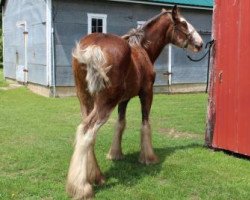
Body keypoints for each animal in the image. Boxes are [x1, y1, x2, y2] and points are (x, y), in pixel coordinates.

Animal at [67, 5, 203, 199]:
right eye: (183, 23)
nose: (200, 44)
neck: (142, 50)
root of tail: (92, 48)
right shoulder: (146, 93)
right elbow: (145, 122)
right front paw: (148, 157)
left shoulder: (123, 100)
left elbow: (120, 124)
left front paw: (115, 154)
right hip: (105, 102)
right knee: (87, 131)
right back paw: (81, 187)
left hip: (85, 99)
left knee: (85, 131)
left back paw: (96, 176)